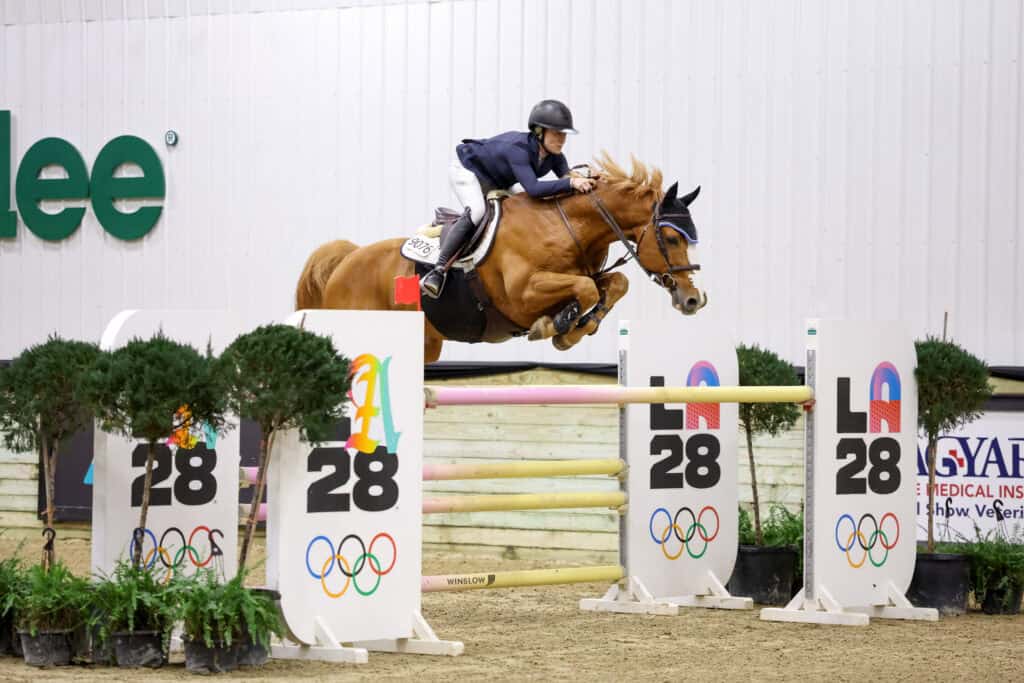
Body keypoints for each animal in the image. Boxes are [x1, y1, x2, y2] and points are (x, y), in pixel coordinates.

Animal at [295, 154, 707, 364]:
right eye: (672, 237)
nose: (692, 300)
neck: (566, 226)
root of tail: (347, 260)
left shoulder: (587, 273)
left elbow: (612, 283)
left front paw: (576, 327)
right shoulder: (523, 296)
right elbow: (586, 289)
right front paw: (558, 326)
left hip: (426, 344)